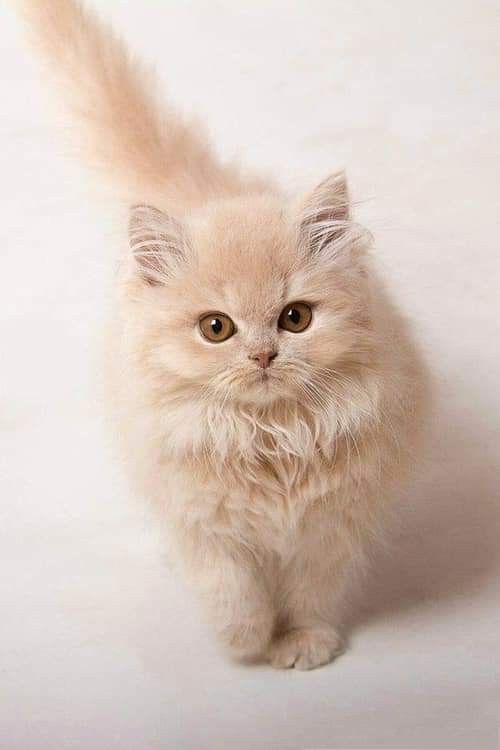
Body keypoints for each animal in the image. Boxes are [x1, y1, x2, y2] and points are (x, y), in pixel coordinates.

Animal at [19, 0, 430, 668]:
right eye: (217, 328)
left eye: (295, 318)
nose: (263, 355)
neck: (271, 437)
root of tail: (207, 194)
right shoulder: (198, 521)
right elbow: (229, 585)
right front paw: (245, 642)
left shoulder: (331, 525)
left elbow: (313, 590)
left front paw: (303, 644)